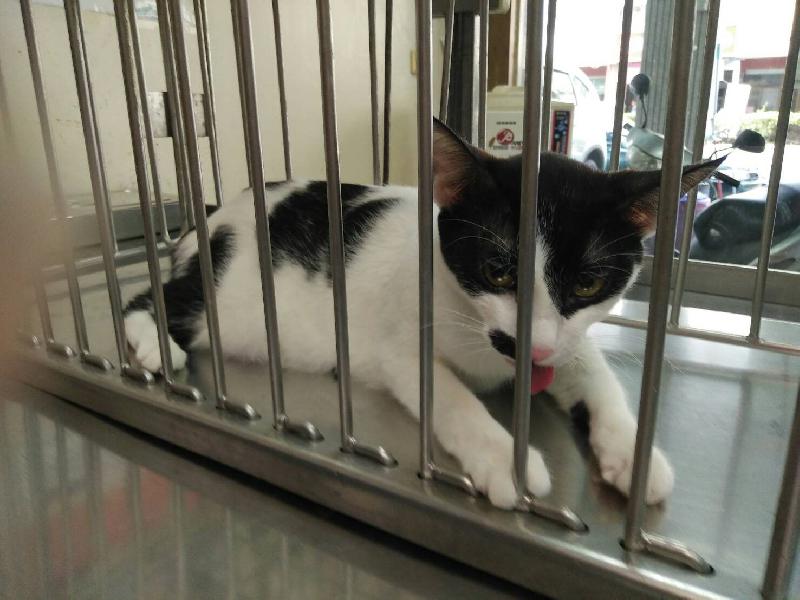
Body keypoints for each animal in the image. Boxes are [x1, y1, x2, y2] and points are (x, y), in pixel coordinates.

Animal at [124, 119, 721, 509]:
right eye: (497, 271)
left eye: (588, 284)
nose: (529, 347)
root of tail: (215, 214)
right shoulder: (400, 347)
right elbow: (449, 397)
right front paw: (504, 459)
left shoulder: (567, 338)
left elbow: (592, 374)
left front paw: (633, 454)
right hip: (229, 299)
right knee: (150, 298)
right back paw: (154, 344)